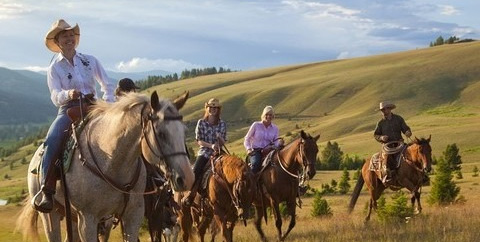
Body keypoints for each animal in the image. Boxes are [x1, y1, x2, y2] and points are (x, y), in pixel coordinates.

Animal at [15, 91, 194, 241]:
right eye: (161, 134)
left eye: (184, 131)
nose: (187, 178)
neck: (112, 162)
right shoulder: (88, 219)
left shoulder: (132, 215)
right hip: (50, 216)